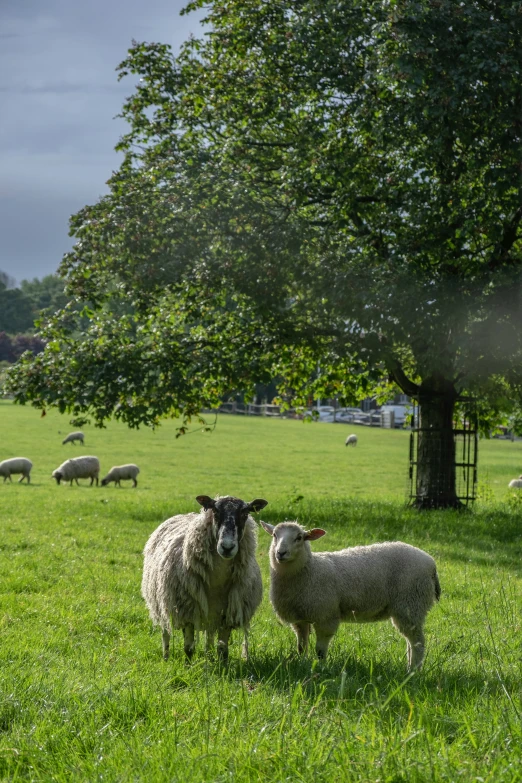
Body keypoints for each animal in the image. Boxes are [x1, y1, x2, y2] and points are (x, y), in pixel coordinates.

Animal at [140, 496, 266, 660]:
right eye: (215, 512)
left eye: (245, 514)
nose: (227, 547)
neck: (217, 580)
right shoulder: (187, 611)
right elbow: (188, 648)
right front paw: (187, 666)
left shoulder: (228, 614)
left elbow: (223, 650)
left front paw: (222, 665)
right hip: (161, 602)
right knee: (165, 631)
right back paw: (166, 657)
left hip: (211, 614)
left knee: (209, 637)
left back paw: (209, 656)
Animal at [260, 524, 438, 672]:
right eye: (274, 535)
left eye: (299, 537)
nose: (280, 553)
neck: (310, 569)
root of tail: (431, 563)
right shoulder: (299, 618)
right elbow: (302, 647)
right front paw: (303, 663)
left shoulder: (326, 616)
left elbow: (320, 650)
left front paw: (321, 667)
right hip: (408, 609)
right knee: (410, 641)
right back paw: (409, 667)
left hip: (411, 603)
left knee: (418, 643)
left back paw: (413, 672)